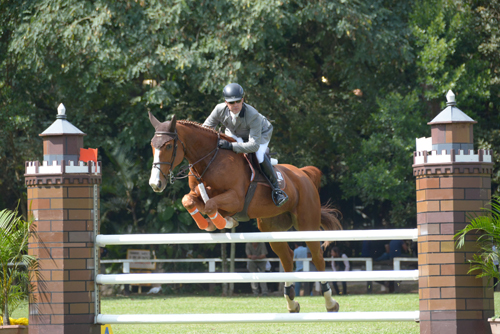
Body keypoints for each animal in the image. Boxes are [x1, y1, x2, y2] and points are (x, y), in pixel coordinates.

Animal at [146, 113, 342, 314]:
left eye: (168, 146)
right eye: (153, 145)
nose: (155, 184)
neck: (209, 161)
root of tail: (303, 174)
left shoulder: (236, 199)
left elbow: (210, 206)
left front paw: (222, 222)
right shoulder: (200, 194)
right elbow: (189, 200)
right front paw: (211, 223)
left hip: (307, 224)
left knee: (317, 256)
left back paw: (330, 302)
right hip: (272, 228)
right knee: (287, 256)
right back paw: (292, 303)